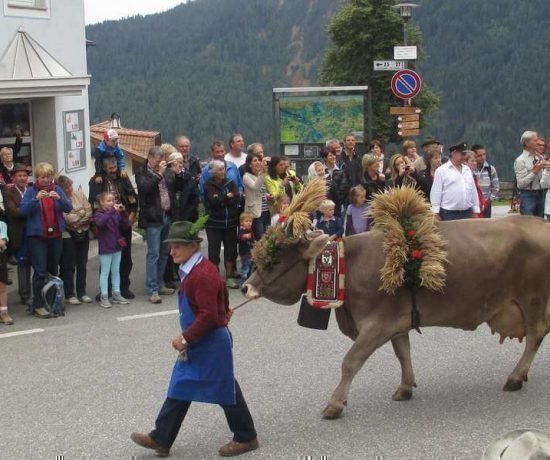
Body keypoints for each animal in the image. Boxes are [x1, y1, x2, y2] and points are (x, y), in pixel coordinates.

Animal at [244, 180, 550, 420]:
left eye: (275, 260)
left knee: (535, 336)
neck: (351, 264)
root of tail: (539, 222)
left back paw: (514, 377)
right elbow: (403, 353)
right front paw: (405, 387)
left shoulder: (376, 324)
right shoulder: (397, 320)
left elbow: (350, 361)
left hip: (532, 299)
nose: (247, 287)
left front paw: (334, 404)